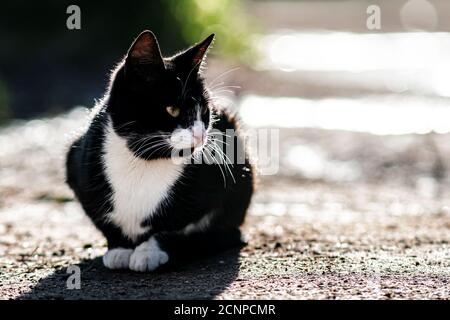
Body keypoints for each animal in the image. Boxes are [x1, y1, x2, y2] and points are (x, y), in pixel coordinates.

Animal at [65, 30, 253, 272]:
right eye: (172, 109)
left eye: (204, 110)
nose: (200, 135)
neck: (144, 159)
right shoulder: (78, 164)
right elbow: (106, 222)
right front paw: (119, 248)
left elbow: (173, 227)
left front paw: (149, 251)